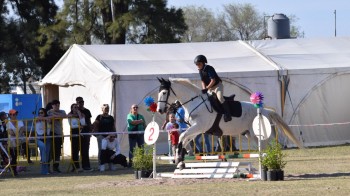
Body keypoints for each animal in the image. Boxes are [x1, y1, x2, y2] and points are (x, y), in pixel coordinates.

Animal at [157, 77, 304, 168]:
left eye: (164, 92)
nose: (159, 110)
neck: (195, 102)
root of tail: (266, 111)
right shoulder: (197, 129)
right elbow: (184, 140)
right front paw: (179, 161)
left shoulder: (199, 127)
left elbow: (182, 137)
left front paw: (180, 160)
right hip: (251, 135)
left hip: (258, 134)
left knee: (268, 147)